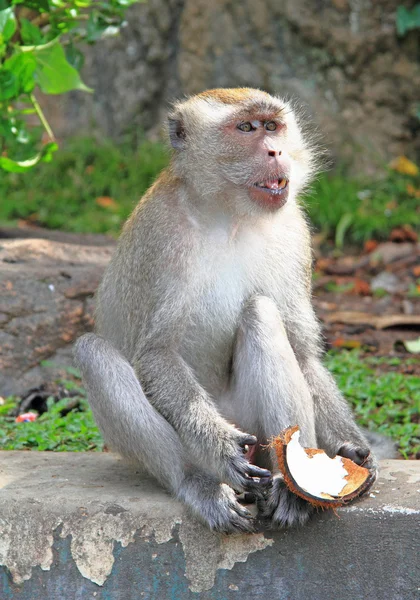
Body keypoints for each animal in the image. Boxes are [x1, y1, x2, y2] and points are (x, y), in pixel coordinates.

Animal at [74, 86, 378, 532]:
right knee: (93, 353)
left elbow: (303, 352)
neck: (232, 215)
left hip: (255, 428)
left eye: (272, 126)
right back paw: (199, 482)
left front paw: (349, 446)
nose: (275, 150)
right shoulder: (163, 235)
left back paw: (291, 486)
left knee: (261, 312)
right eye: (246, 128)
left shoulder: (295, 232)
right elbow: (157, 353)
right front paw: (220, 449)